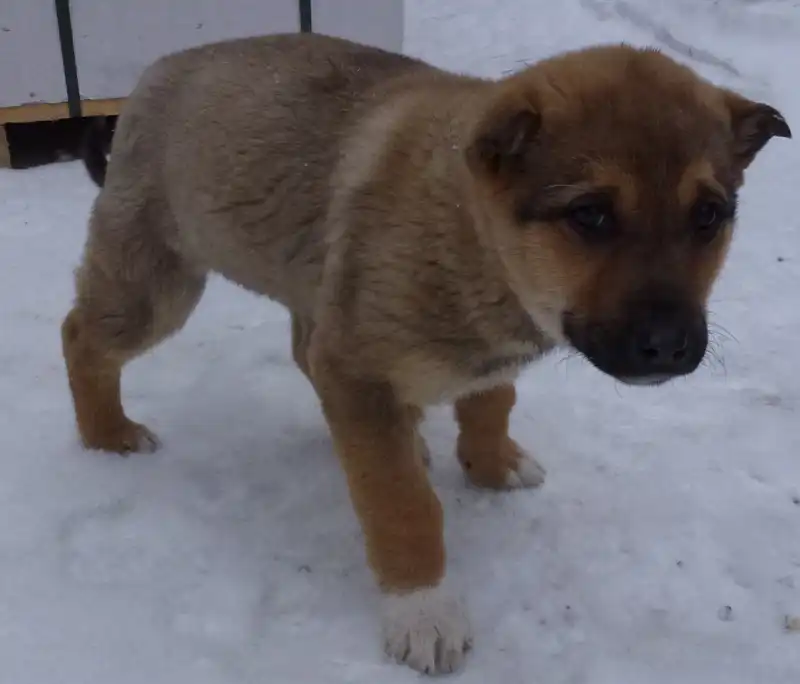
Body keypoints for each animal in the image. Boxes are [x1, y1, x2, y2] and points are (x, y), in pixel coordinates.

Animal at [61, 32, 790, 675]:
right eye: (591, 215)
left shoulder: (439, 354)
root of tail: (163, 65)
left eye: (708, 216)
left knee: (302, 350)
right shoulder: (357, 369)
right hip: (156, 283)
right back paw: (108, 437)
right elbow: (402, 505)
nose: (668, 347)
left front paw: (491, 464)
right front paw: (423, 612)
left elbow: (494, 398)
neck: (471, 237)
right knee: (81, 337)